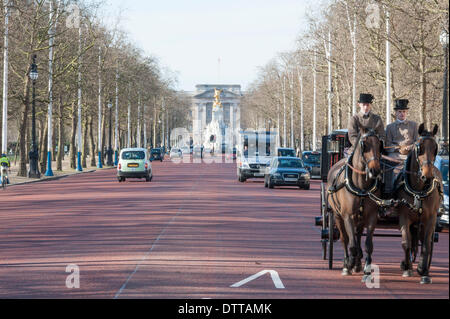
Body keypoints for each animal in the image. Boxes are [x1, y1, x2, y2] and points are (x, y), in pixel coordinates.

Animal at [326, 128, 384, 282]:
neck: (361, 186)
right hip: (337, 216)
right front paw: (349, 264)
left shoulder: (371, 216)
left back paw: (358, 262)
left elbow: (368, 244)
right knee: (345, 239)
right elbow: (350, 242)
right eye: (364, 145)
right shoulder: (348, 216)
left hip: (360, 219)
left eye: (380, 145)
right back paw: (348, 263)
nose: (375, 170)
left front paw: (367, 269)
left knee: (357, 236)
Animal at [398, 124, 442, 284]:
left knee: (423, 240)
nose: (427, 176)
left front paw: (423, 270)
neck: (418, 190)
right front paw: (407, 268)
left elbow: (427, 244)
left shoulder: (431, 218)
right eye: (420, 147)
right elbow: (406, 242)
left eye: (435, 148)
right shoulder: (404, 217)